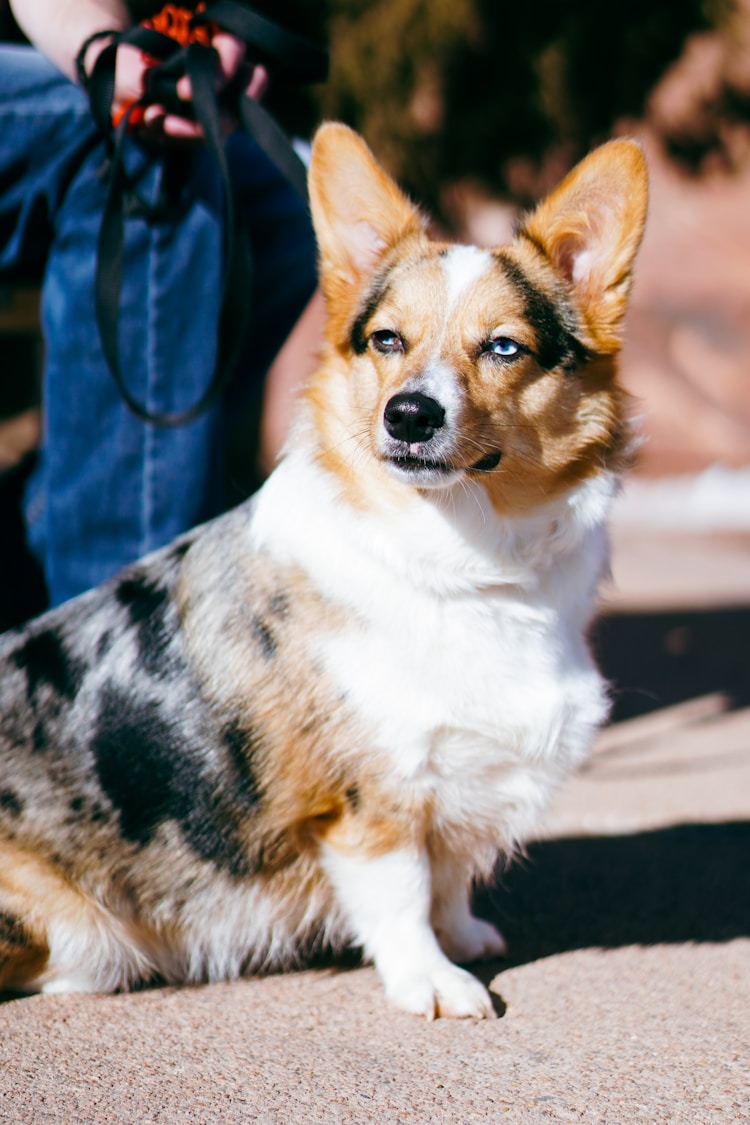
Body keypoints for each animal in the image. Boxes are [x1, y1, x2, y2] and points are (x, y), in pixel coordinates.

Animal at [0, 123, 647, 1021]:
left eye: (503, 347)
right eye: (387, 340)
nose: (408, 415)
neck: (463, 559)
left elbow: (448, 878)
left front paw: (465, 934)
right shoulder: (372, 794)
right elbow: (404, 891)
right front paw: (434, 981)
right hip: (70, 926)